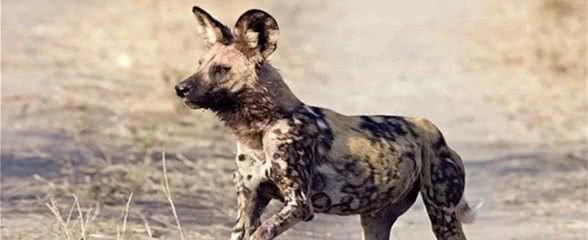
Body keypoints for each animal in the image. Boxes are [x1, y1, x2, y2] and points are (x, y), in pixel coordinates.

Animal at [175, 6, 478, 239]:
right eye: (200, 64)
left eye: (221, 70)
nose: (180, 88)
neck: (260, 129)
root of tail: (431, 129)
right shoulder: (249, 202)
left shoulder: (299, 205)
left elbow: (262, 232)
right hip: (375, 219)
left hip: (442, 215)